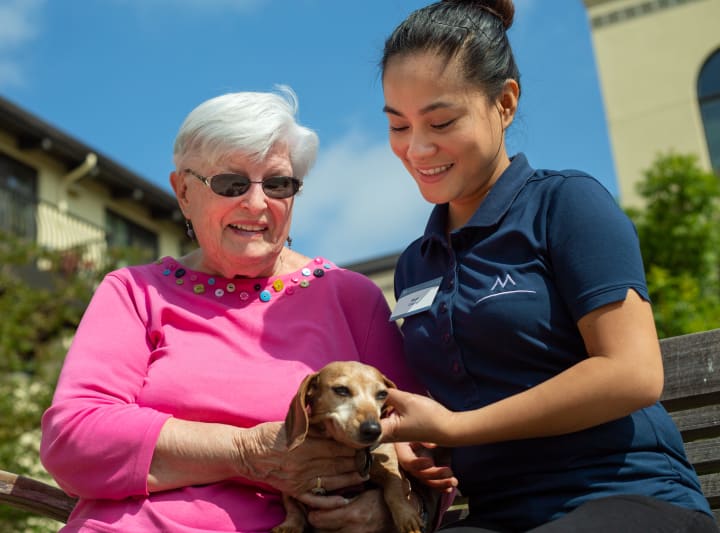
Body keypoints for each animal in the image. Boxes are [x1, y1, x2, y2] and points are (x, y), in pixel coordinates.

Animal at [272, 358, 424, 532]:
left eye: (382, 394)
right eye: (341, 390)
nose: (373, 430)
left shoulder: (391, 467)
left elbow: (395, 489)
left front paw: (407, 516)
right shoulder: (292, 483)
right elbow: (292, 505)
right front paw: (290, 524)